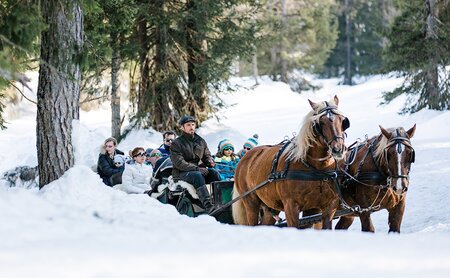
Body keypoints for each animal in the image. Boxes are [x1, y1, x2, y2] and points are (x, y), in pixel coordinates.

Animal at [232, 95, 352, 228]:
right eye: (321, 122)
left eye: (343, 120)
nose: (338, 149)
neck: (317, 169)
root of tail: (246, 157)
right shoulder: (290, 206)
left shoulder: (325, 208)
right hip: (250, 202)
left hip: (270, 205)